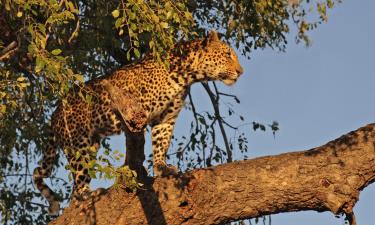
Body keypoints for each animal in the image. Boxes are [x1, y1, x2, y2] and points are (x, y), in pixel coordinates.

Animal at [32, 30, 244, 214]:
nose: (241, 72)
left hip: (91, 144)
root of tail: (55, 113)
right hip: (77, 143)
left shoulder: (165, 119)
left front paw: (162, 168)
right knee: (77, 182)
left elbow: (161, 144)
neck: (186, 76)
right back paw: (87, 195)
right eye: (227, 54)